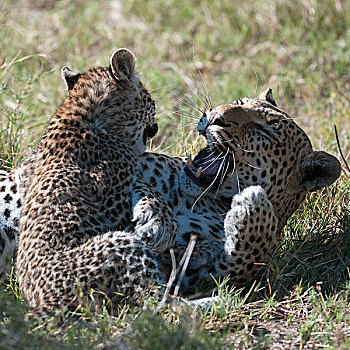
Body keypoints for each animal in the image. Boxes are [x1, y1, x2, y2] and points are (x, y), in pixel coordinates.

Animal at [0, 54, 340, 312]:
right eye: (239, 101)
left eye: (264, 130)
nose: (214, 115)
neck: (200, 198)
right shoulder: (137, 166)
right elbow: (146, 187)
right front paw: (158, 220)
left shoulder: (196, 272)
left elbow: (247, 260)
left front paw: (253, 209)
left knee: (157, 305)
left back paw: (216, 301)